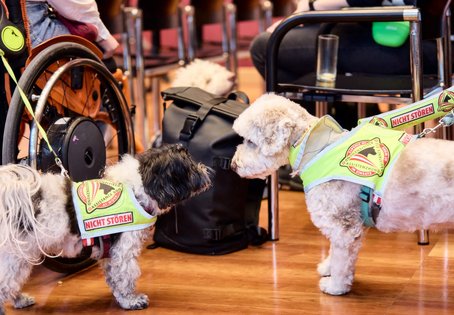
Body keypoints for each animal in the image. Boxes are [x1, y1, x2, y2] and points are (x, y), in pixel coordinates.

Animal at [0, 145, 212, 314]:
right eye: (190, 166)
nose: (205, 168)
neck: (136, 187)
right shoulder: (124, 249)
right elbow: (125, 276)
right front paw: (131, 300)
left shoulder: (111, 252)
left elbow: (114, 277)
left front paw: (121, 297)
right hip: (14, 257)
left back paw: (20, 299)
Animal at [232, 94, 454, 296]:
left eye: (250, 141)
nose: (233, 165)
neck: (315, 147)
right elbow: (334, 251)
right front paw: (327, 268)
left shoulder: (343, 225)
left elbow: (341, 260)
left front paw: (335, 286)